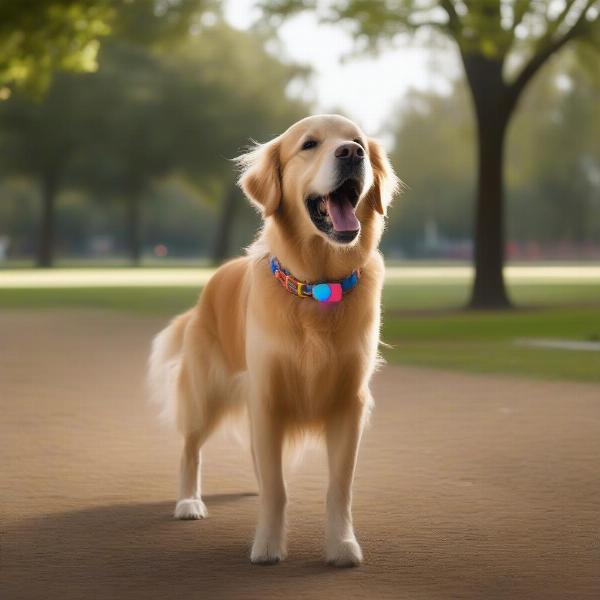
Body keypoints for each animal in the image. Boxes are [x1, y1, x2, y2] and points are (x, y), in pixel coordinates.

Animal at [147, 116, 396, 568]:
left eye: (358, 142)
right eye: (309, 144)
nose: (352, 153)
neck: (317, 286)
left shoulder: (349, 402)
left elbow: (339, 488)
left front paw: (342, 545)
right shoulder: (266, 394)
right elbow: (278, 489)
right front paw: (267, 546)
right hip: (204, 392)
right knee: (190, 449)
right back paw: (189, 502)